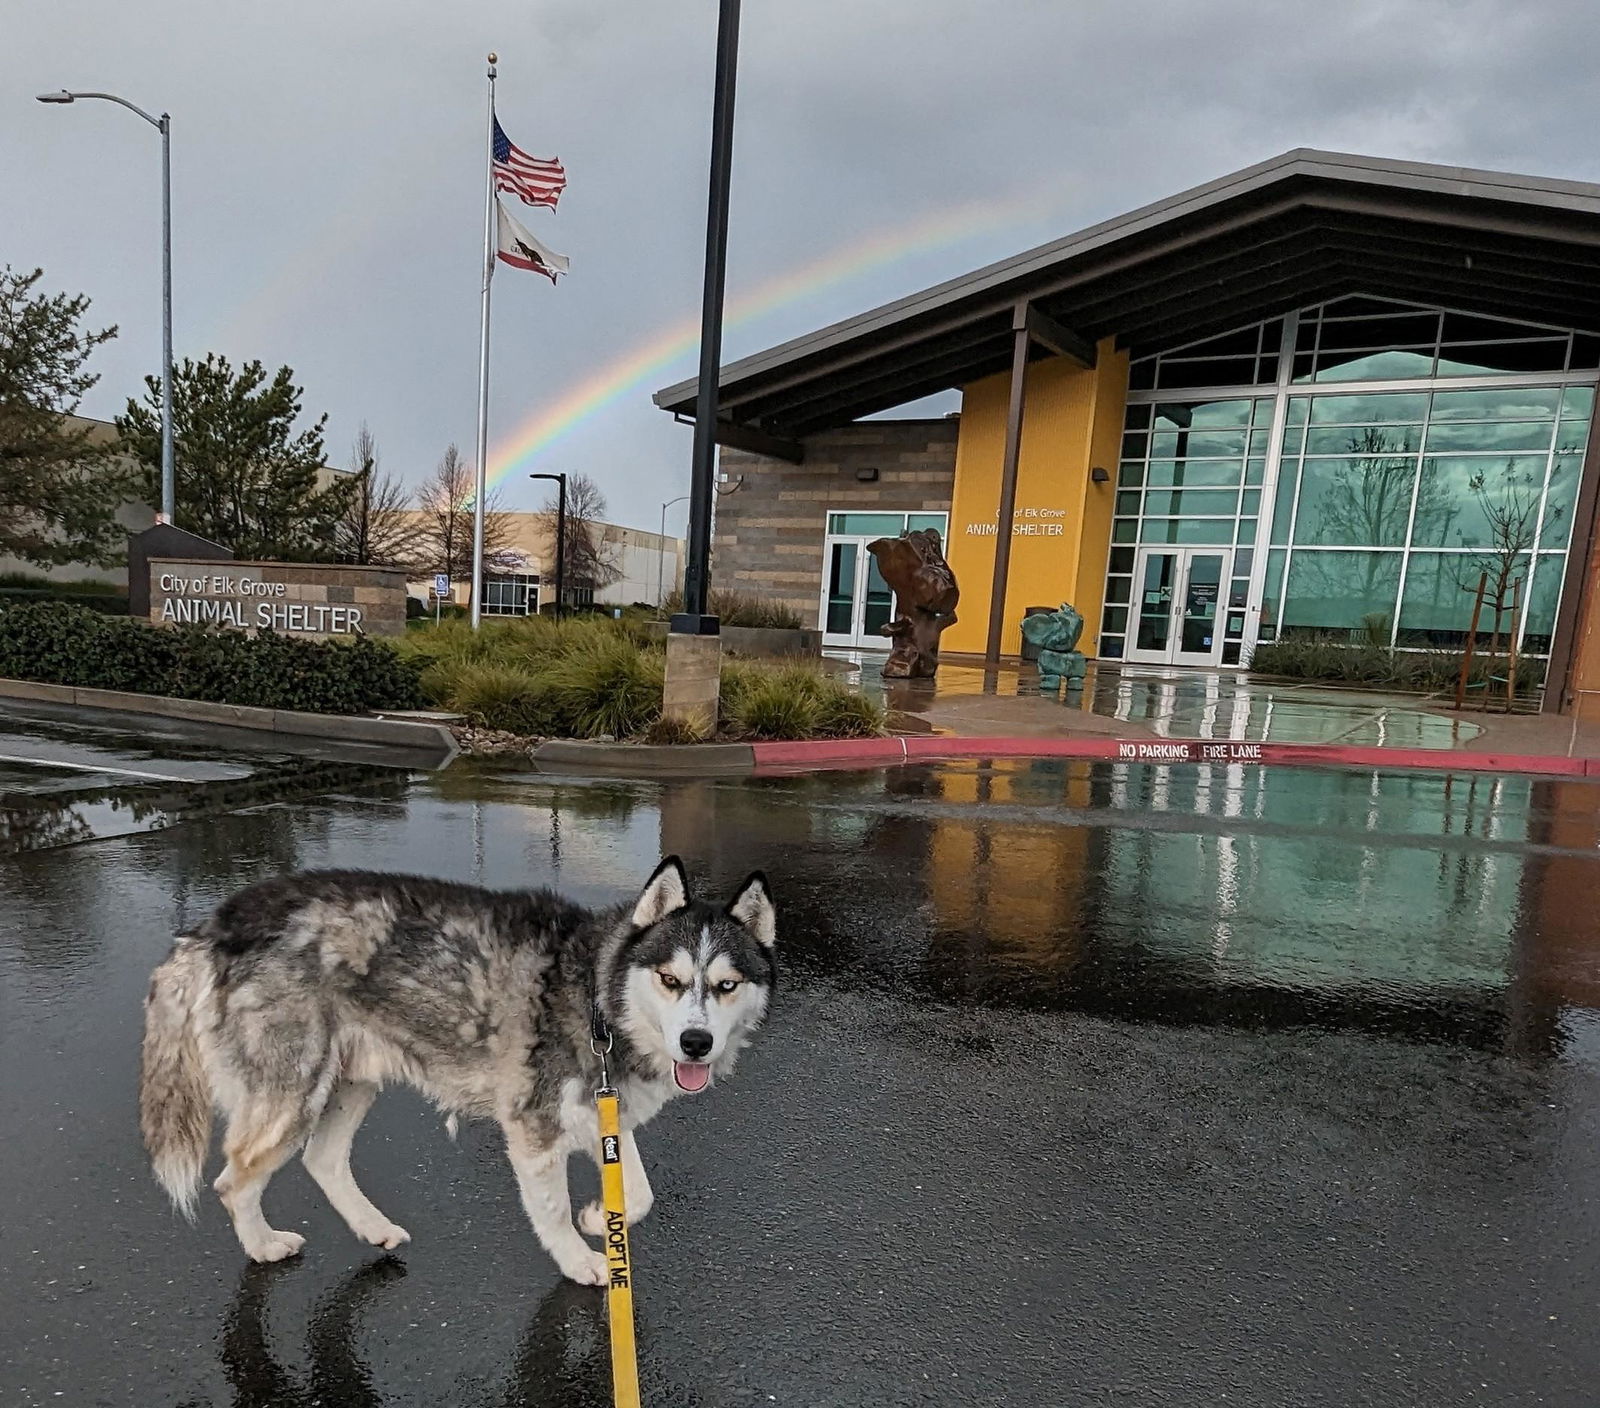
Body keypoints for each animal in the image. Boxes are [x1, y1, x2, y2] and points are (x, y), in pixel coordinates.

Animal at [137, 851, 774, 1280]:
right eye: (670, 979)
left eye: (726, 985)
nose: (696, 1042)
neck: (595, 993)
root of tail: (212, 926)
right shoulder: (533, 1129)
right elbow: (553, 1210)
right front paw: (580, 1258)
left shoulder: (600, 1110)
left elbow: (639, 1192)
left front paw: (602, 1216)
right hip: (292, 1095)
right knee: (233, 1180)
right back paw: (262, 1245)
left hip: (350, 1082)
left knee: (323, 1160)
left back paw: (371, 1226)